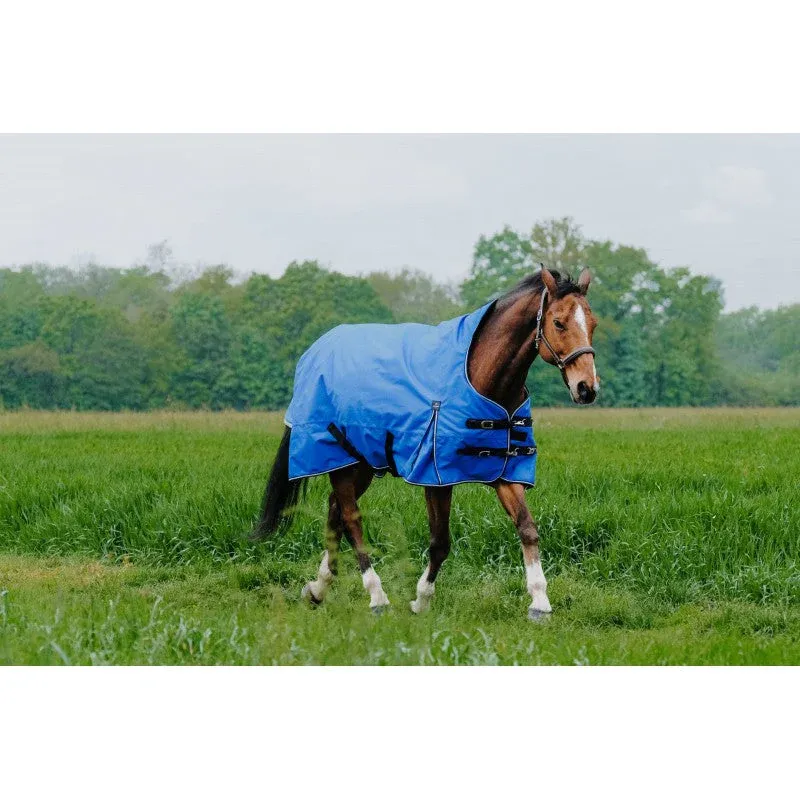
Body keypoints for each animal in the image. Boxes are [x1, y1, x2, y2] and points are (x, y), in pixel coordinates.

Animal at [251, 266, 599, 620]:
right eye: (558, 322)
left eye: (593, 323)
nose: (587, 388)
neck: (482, 376)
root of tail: (316, 351)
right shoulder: (436, 477)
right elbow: (440, 541)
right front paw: (422, 599)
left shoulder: (503, 470)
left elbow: (527, 528)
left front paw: (540, 602)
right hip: (341, 461)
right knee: (350, 519)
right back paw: (376, 596)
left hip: (361, 463)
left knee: (335, 512)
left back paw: (318, 589)